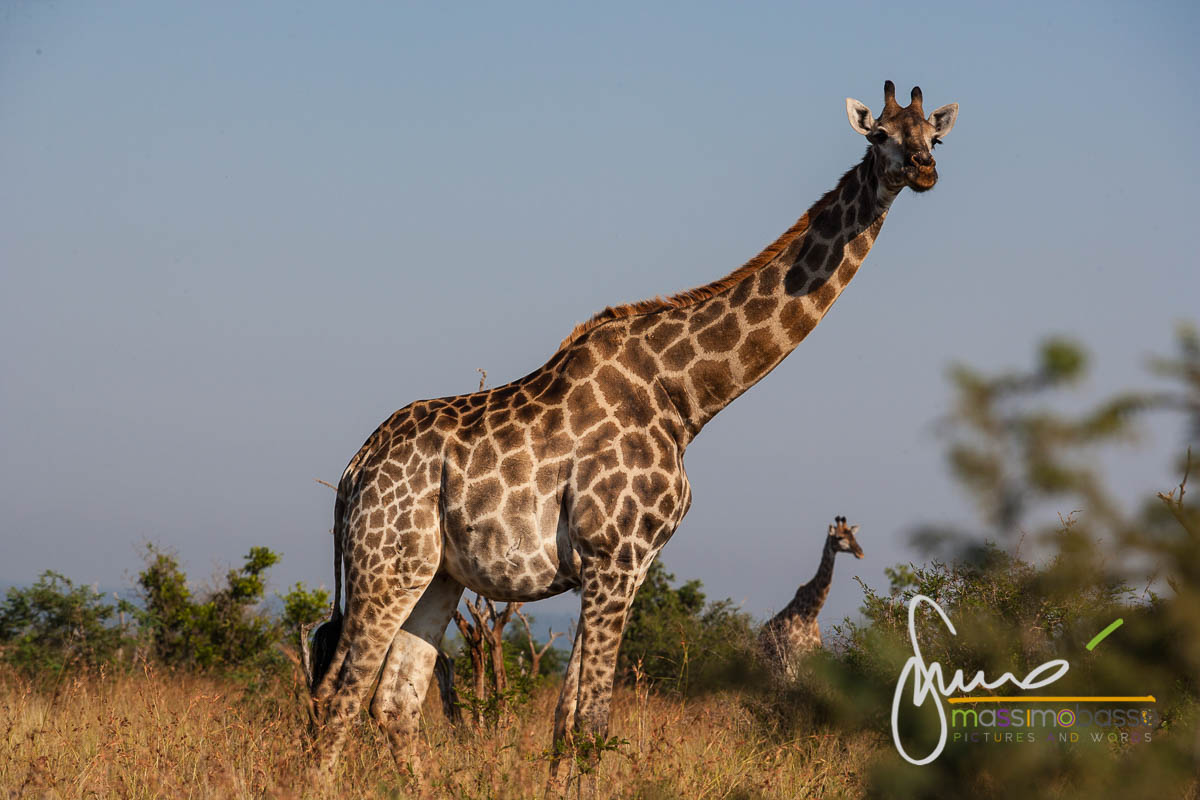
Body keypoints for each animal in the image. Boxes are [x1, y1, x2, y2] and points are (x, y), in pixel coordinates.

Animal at [759, 516, 863, 674]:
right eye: (839, 537)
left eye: (853, 536)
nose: (860, 552)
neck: (809, 615)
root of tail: (758, 636)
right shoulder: (790, 660)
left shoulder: (811, 659)